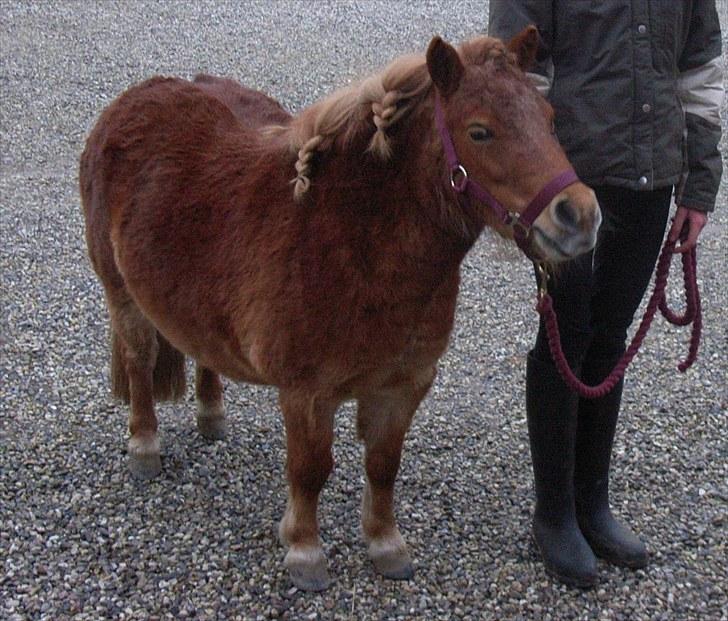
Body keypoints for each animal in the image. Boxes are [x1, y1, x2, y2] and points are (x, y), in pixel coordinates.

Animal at [79, 27, 601, 591]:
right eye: (480, 131)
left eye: (550, 120)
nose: (580, 216)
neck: (356, 244)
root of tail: (135, 99)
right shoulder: (307, 393)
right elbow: (311, 470)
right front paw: (305, 551)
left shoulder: (404, 385)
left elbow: (383, 465)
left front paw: (386, 544)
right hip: (122, 296)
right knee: (139, 363)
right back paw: (144, 447)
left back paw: (211, 414)